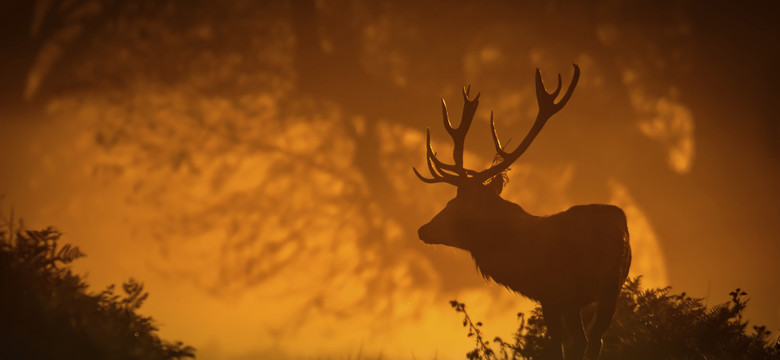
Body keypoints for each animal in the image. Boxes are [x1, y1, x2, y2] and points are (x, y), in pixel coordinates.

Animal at [414, 65, 628, 360]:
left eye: (452, 205)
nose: (422, 229)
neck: (520, 256)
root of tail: (619, 230)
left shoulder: (552, 294)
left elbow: (558, 345)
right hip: (611, 289)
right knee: (597, 340)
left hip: (588, 288)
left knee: (585, 341)